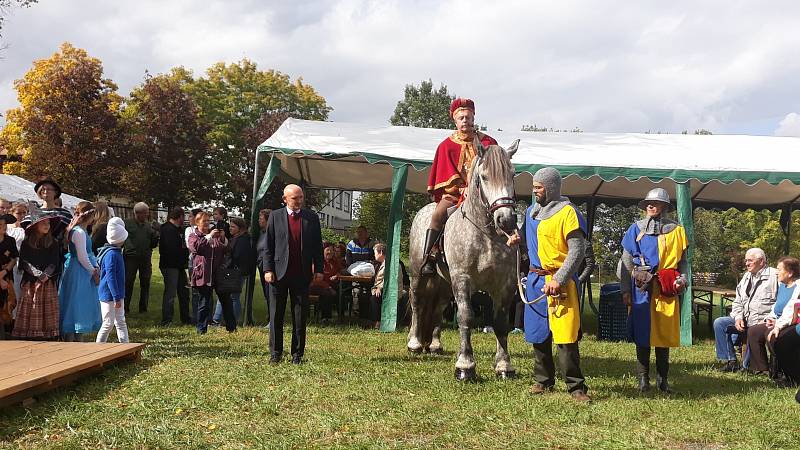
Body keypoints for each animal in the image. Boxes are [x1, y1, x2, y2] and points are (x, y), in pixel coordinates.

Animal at [406, 139, 520, 382]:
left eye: (512, 174)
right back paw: (415, 343)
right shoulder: (463, 279)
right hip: (418, 275)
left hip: (444, 284)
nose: (506, 220)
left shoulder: (505, 285)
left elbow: (501, 323)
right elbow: (466, 317)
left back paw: (435, 344)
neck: (486, 235)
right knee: (417, 303)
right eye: (484, 177)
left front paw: (504, 365)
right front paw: (465, 365)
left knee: (438, 307)